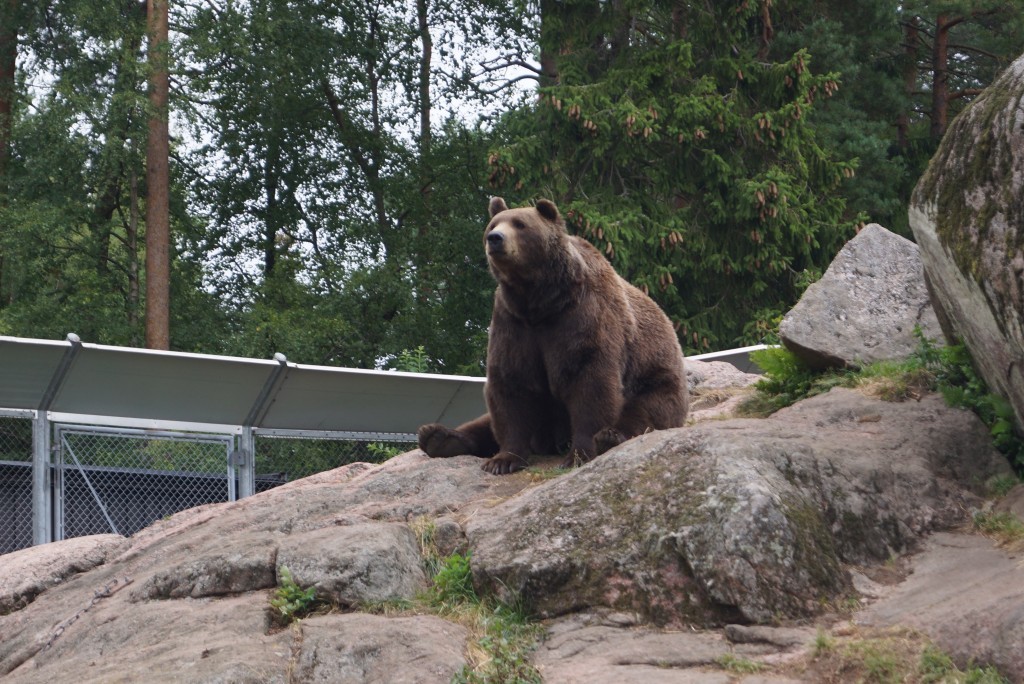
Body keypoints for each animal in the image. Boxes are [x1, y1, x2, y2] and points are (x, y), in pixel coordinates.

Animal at [415, 197, 688, 473]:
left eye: (520, 224)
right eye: (492, 224)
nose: (495, 238)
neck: (541, 300)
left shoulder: (581, 318)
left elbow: (590, 382)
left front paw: (579, 453)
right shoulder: (513, 323)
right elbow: (511, 386)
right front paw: (503, 460)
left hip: (655, 378)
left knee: (644, 410)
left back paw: (610, 436)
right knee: (483, 421)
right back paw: (437, 436)